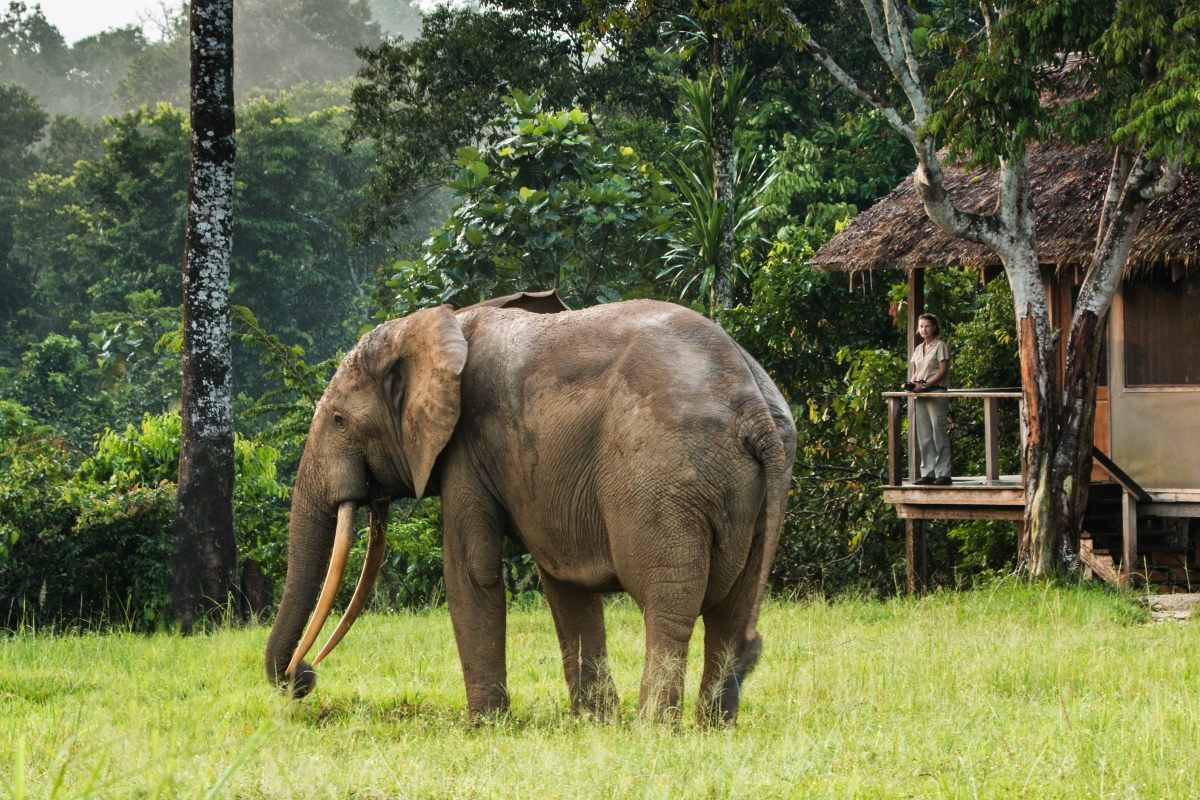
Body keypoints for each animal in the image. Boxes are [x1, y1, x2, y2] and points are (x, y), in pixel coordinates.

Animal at [262, 292, 796, 724]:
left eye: (338, 421)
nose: (301, 676)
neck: (441, 323)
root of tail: (752, 406)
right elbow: (564, 581)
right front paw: (592, 724)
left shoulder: (466, 447)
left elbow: (470, 570)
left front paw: (484, 727)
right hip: (755, 486)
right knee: (732, 610)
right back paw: (712, 729)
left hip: (663, 476)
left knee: (667, 602)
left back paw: (654, 731)